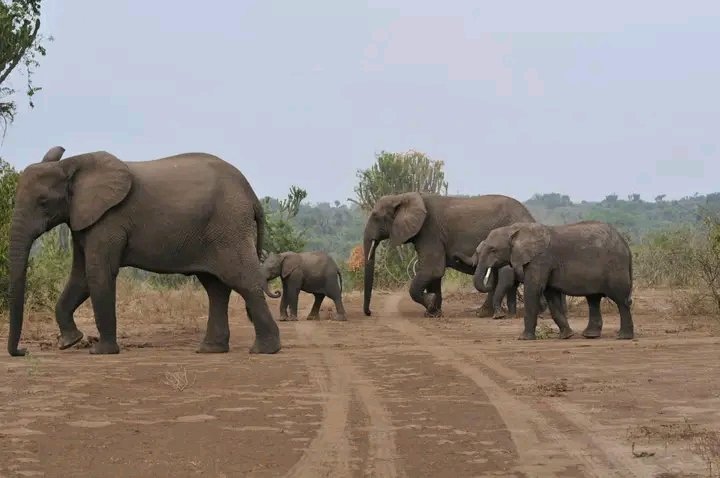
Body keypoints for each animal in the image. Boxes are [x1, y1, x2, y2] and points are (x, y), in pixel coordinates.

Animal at [6, 146, 282, 357]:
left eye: (43, 202)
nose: (23, 352)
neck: (70, 164)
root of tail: (251, 194)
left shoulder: (108, 220)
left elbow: (98, 274)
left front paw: (100, 352)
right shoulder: (83, 221)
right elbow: (81, 278)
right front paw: (70, 342)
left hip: (229, 226)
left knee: (242, 280)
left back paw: (264, 350)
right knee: (216, 288)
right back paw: (210, 350)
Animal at [363, 192, 536, 317]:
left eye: (376, 216)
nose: (370, 313)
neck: (403, 196)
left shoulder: (430, 232)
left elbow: (433, 270)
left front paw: (430, 303)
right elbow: (435, 274)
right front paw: (433, 313)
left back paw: (483, 314)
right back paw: (484, 313)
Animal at [475, 220, 634, 341]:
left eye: (493, 250)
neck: (514, 229)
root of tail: (626, 244)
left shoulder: (540, 260)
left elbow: (533, 290)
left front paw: (524, 338)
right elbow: (551, 295)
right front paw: (566, 336)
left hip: (615, 267)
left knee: (621, 299)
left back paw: (624, 337)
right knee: (593, 299)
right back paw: (590, 335)